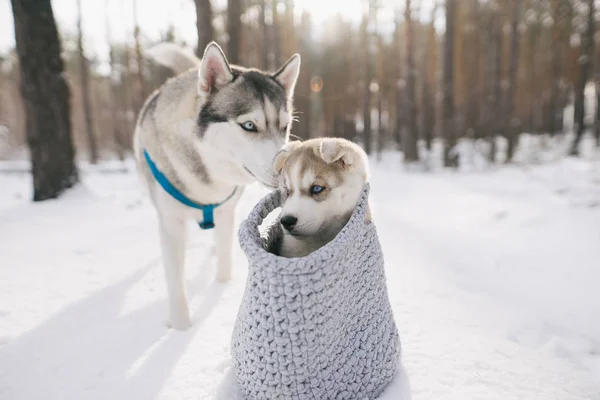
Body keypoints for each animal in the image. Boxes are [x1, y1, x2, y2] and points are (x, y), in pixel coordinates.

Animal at [132, 42, 298, 330]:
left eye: (284, 126)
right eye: (249, 125)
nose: (288, 170)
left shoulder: (225, 212)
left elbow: (224, 261)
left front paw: (222, 288)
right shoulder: (172, 222)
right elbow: (175, 281)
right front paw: (181, 327)